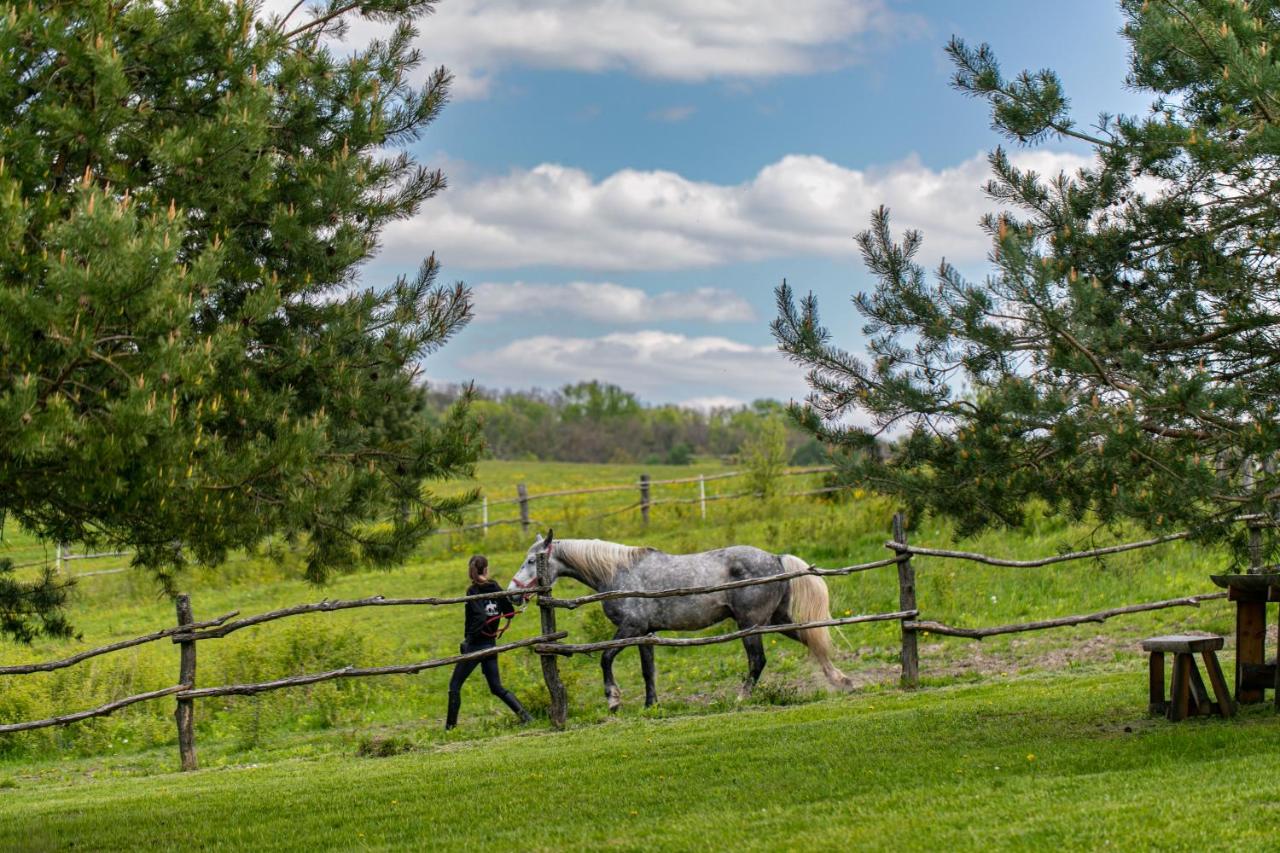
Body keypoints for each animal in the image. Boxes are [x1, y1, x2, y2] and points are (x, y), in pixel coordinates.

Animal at [506, 527, 849, 706]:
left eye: (532, 560)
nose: (511, 594)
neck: (617, 572)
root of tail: (776, 559)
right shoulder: (645, 632)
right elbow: (648, 670)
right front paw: (651, 705)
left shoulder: (630, 627)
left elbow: (605, 657)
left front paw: (613, 698)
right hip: (775, 620)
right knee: (811, 638)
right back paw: (842, 680)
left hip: (750, 624)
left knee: (758, 660)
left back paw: (741, 697)